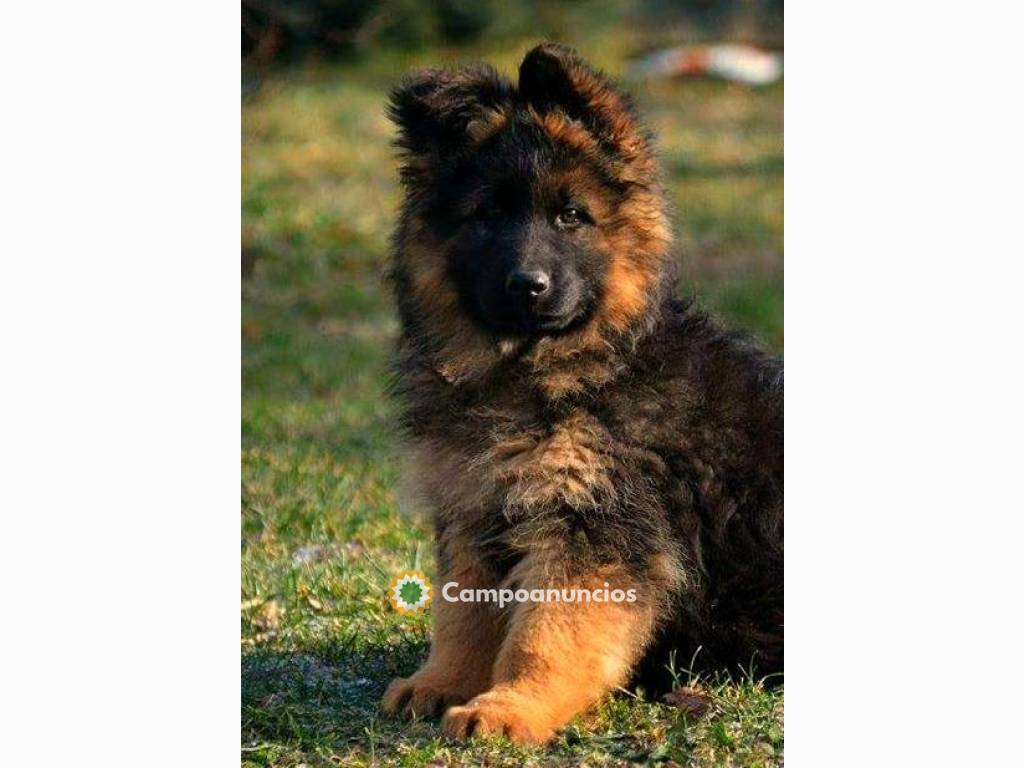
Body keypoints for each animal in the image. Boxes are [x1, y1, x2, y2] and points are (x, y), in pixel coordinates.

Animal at [380, 41, 778, 745]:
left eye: (571, 216)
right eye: (487, 215)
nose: (527, 285)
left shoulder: (595, 523)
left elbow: (548, 632)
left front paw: (513, 706)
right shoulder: (473, 509)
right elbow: (464, 615)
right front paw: (441, 682)